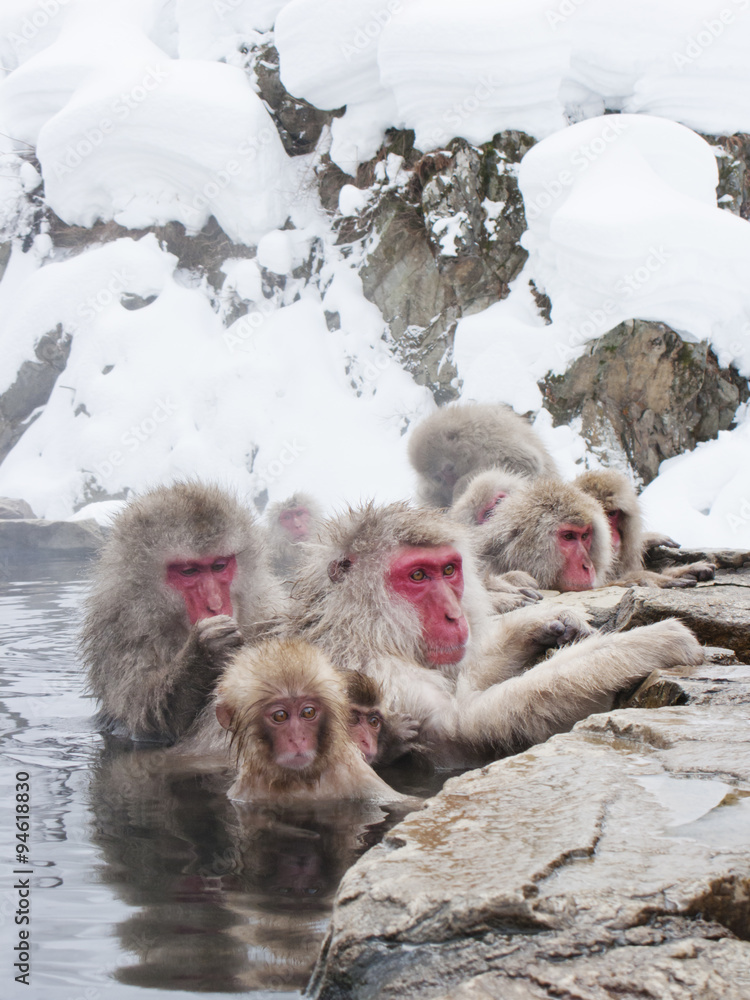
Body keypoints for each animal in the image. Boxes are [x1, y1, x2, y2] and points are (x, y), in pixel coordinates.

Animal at [80, 481, 284, 744]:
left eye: (219, 566)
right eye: (189, 571)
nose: (215, 604)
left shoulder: (267, 604)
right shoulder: (119, 632)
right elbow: (145, 719)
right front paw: (204, 653)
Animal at [213, 638, 407, 805]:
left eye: (308, 712)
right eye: (280, 715)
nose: (298, 739)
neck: (299, 780)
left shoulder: (361, 777)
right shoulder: (244, 791)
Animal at [278, 502, 703, 767]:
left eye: (449, 570)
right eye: (418, 576)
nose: (454, 615)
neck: (364, 629)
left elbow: (470, 674)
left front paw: (548, 622)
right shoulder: (381, 679)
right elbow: (463, 729)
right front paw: (649, 642)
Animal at [407, 402, 559, 508]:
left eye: (449, 468)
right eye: (438, 478)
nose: (450, 482)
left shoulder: (489, 441)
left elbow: (525, 463)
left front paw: (460, 488)